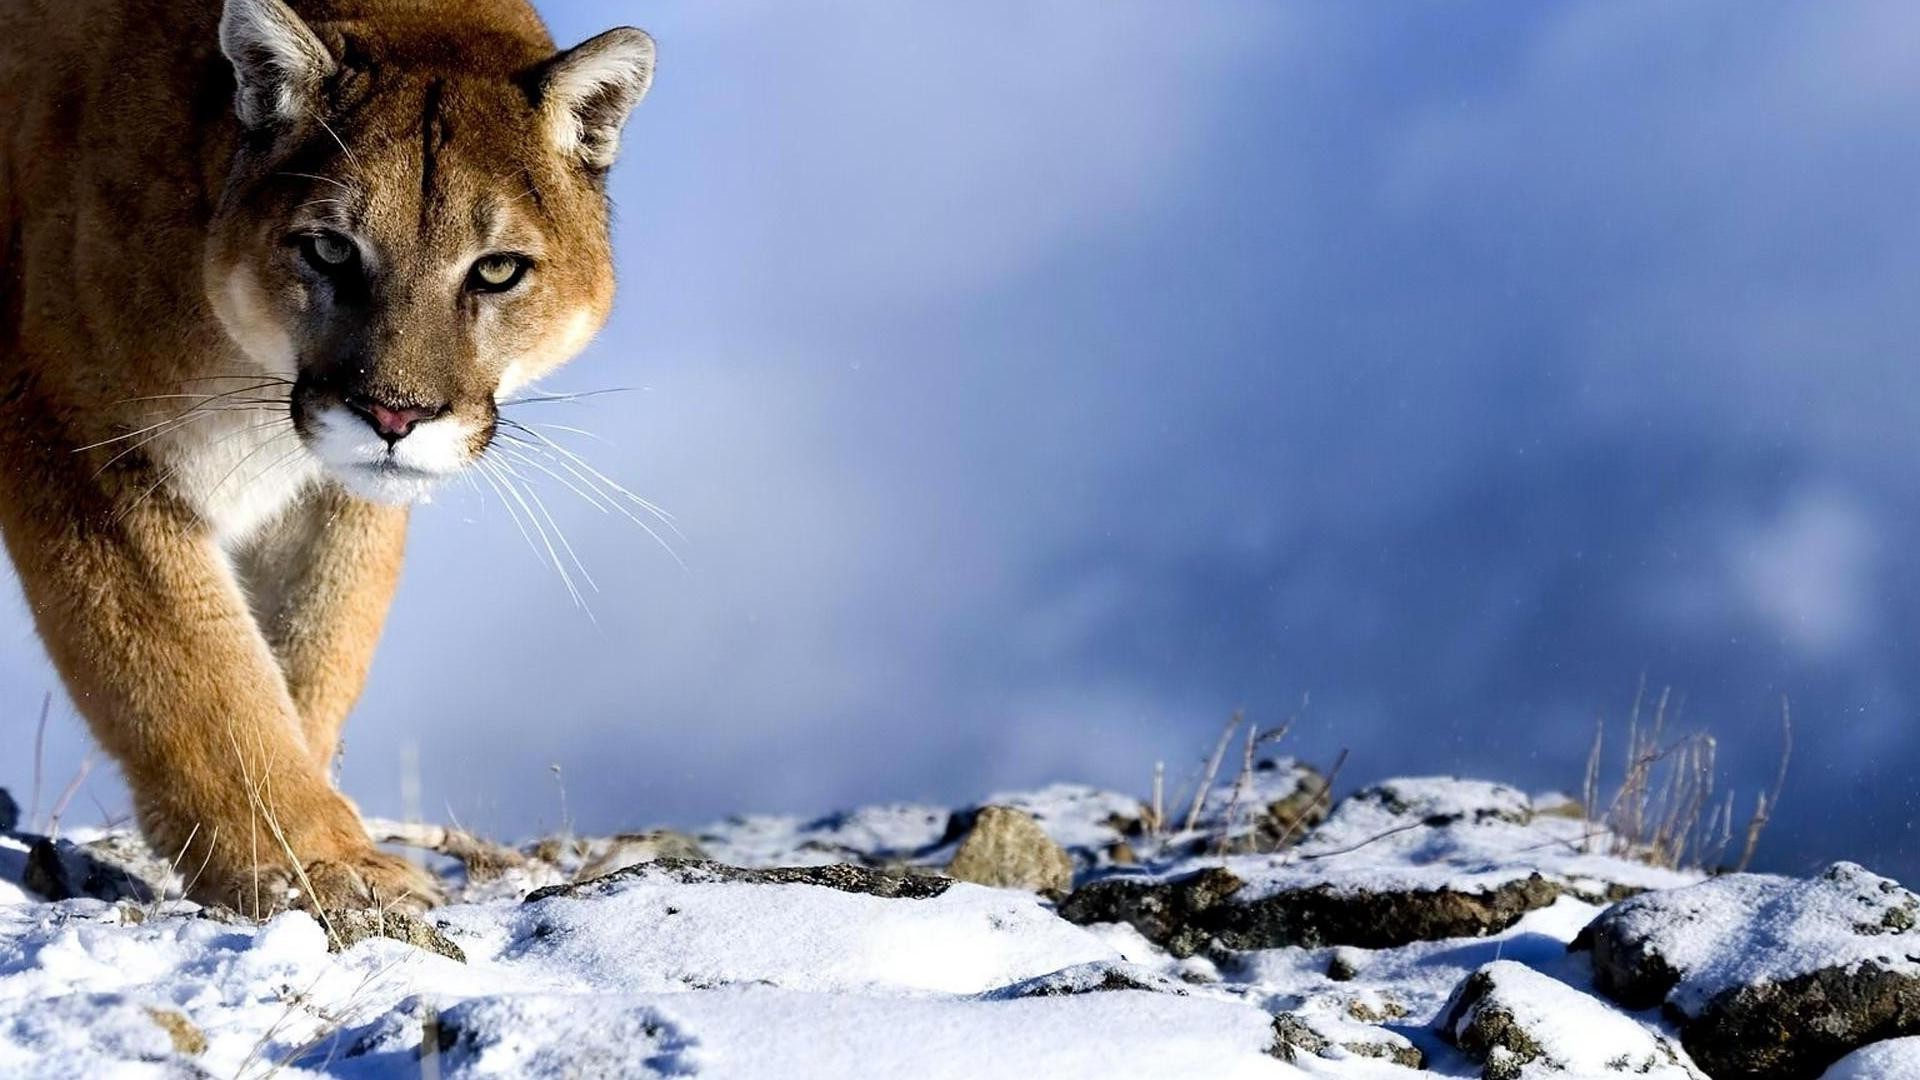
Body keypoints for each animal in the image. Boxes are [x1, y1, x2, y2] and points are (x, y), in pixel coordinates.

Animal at [0, 0, 656, 907]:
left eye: (496, 270)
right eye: (332, 249)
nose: (392, 414)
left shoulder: (333, 492)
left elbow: (318, 644)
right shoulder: (78, 441)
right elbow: (194, 670)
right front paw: (309, 863)